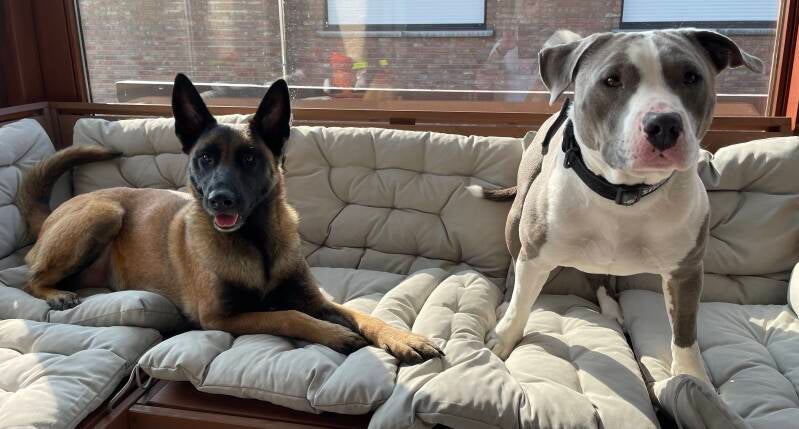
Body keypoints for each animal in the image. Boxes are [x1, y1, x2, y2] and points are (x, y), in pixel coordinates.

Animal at [18, 74, 443, 364]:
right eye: (205, 157)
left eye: (249, 158)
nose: (219, 200)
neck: (256, 243)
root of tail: (54, 212)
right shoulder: (221, 317)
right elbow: (288, 316)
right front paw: (333, 334)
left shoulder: (314, 298)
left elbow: (360, 313)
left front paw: (401, 337)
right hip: (104, 213)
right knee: (28, 279)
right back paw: (55, 294)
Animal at [469, 29, 762, 383]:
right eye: (611, 80)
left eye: (691, 77)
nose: (664, 123)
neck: (624, 193)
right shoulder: (536, 255)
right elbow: (522, 301)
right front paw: (504, 336)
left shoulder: (686, 272)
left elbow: (685, 330)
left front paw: (692, 378)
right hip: (517, 218)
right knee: (516, 262)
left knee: (600, 277)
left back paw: (611, 309)